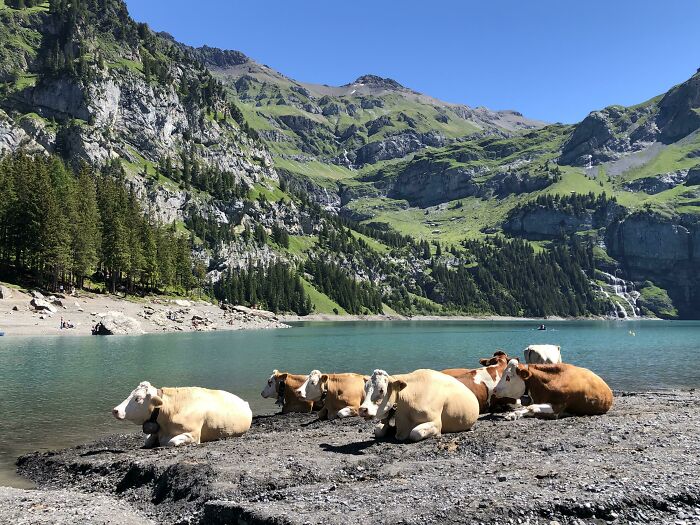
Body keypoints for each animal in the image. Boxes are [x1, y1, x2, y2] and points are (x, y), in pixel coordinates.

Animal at [112, 381, 252, 447]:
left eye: (138, 398)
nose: (115, 410)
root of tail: (244, 402)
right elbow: (147, 441)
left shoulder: (194, 435)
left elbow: (171, 442)